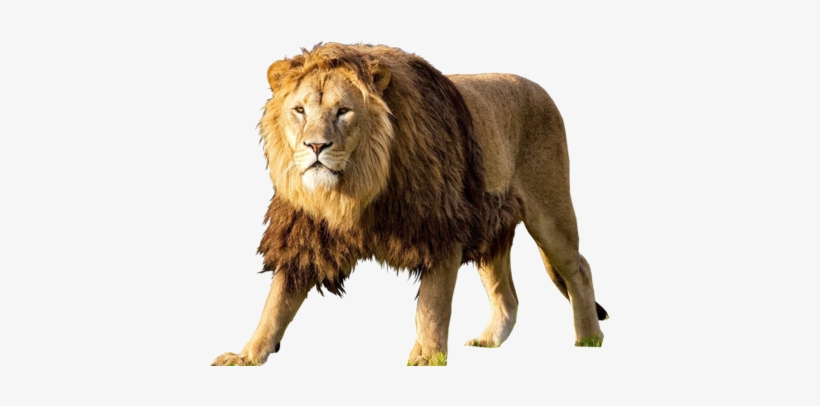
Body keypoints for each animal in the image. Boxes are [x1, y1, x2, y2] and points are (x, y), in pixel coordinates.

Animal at [211, 43, 608, 367]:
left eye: (343, 111)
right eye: (299, 110)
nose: (316, 146)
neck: (353, 188)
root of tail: (538, 87)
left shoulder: (441, 229)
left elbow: (431, 307)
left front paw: (428, 358)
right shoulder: (305, 236)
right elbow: (276, 303)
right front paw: (247, 355)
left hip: (550, 215)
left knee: (580, 270)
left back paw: (588, 338)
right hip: (490, 227)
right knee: (506, 296)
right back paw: (489, 340)